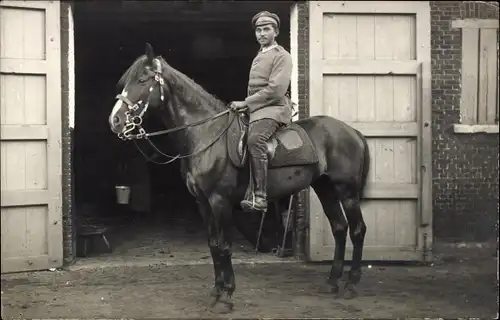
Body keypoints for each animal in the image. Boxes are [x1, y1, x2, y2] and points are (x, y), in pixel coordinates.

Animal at [106, 42, 372, 312]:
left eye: (142, 80)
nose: (115, 120)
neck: (205, 133)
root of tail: (352, 132)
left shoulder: (219, 200)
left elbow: (225, 246)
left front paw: (227, 296)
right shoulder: (202, 202)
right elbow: (213, 245)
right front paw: (215, 293)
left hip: (346, 191)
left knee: (357, 230)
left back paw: (351, 285)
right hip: (325, 188)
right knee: (339, 228)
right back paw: (332, 282)